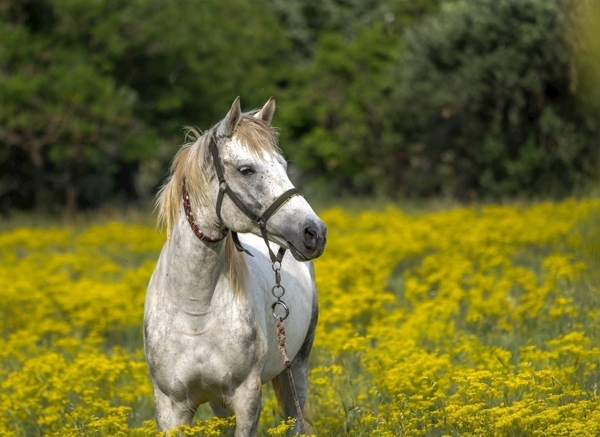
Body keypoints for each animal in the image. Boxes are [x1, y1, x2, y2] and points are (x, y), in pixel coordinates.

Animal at [144, 97, 326, 434]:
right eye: (246, 169)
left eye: (283, 166)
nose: (314, 233)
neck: (195, 309)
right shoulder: (170, 407)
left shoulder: (246, 398)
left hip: (296, 368)